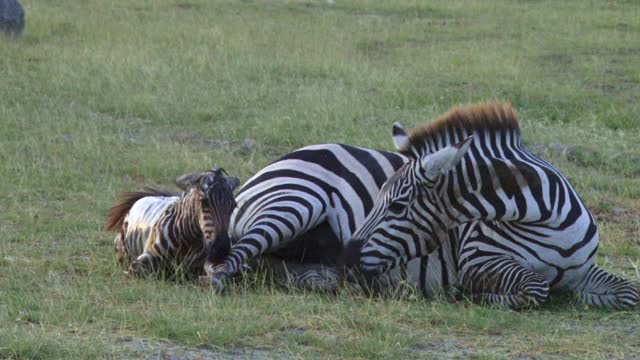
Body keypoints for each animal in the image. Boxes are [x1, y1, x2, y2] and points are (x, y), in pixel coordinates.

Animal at [106, 167, 239, 278]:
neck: (189, 240)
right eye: (204, 202)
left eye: (234, 206)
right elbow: (139, 270)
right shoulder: (142, 260)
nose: (221, 250)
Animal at [344, 102, 640, 310]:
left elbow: (629, 292)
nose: (345, 256)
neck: (547, 221)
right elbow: (535, 286)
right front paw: (479, 296)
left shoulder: (582, 270)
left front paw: (578, 296)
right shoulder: (477, 260)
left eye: (397, 206)